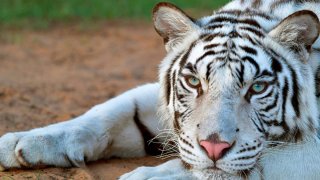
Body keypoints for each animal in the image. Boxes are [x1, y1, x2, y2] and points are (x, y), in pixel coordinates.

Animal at [0, 0, 320, 179]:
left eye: (258, 87)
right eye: (194, 82)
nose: (214, 148)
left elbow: (260, 164)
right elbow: (109, 111)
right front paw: (22, 141)